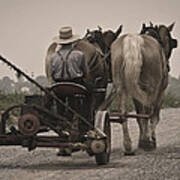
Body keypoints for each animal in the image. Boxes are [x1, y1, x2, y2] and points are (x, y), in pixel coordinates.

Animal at [100, 22, 178, 155]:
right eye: (169, 39)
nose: (168, 66)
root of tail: (132, 41)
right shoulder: (160, 92)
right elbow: (153, 116)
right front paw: (150, 139)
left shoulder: (135, 92)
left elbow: (138, 115)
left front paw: (142, 139)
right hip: (150, 87)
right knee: (147, 112)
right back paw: (147, 142)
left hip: (121, 86)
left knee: (123, 113)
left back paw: (128, 145)